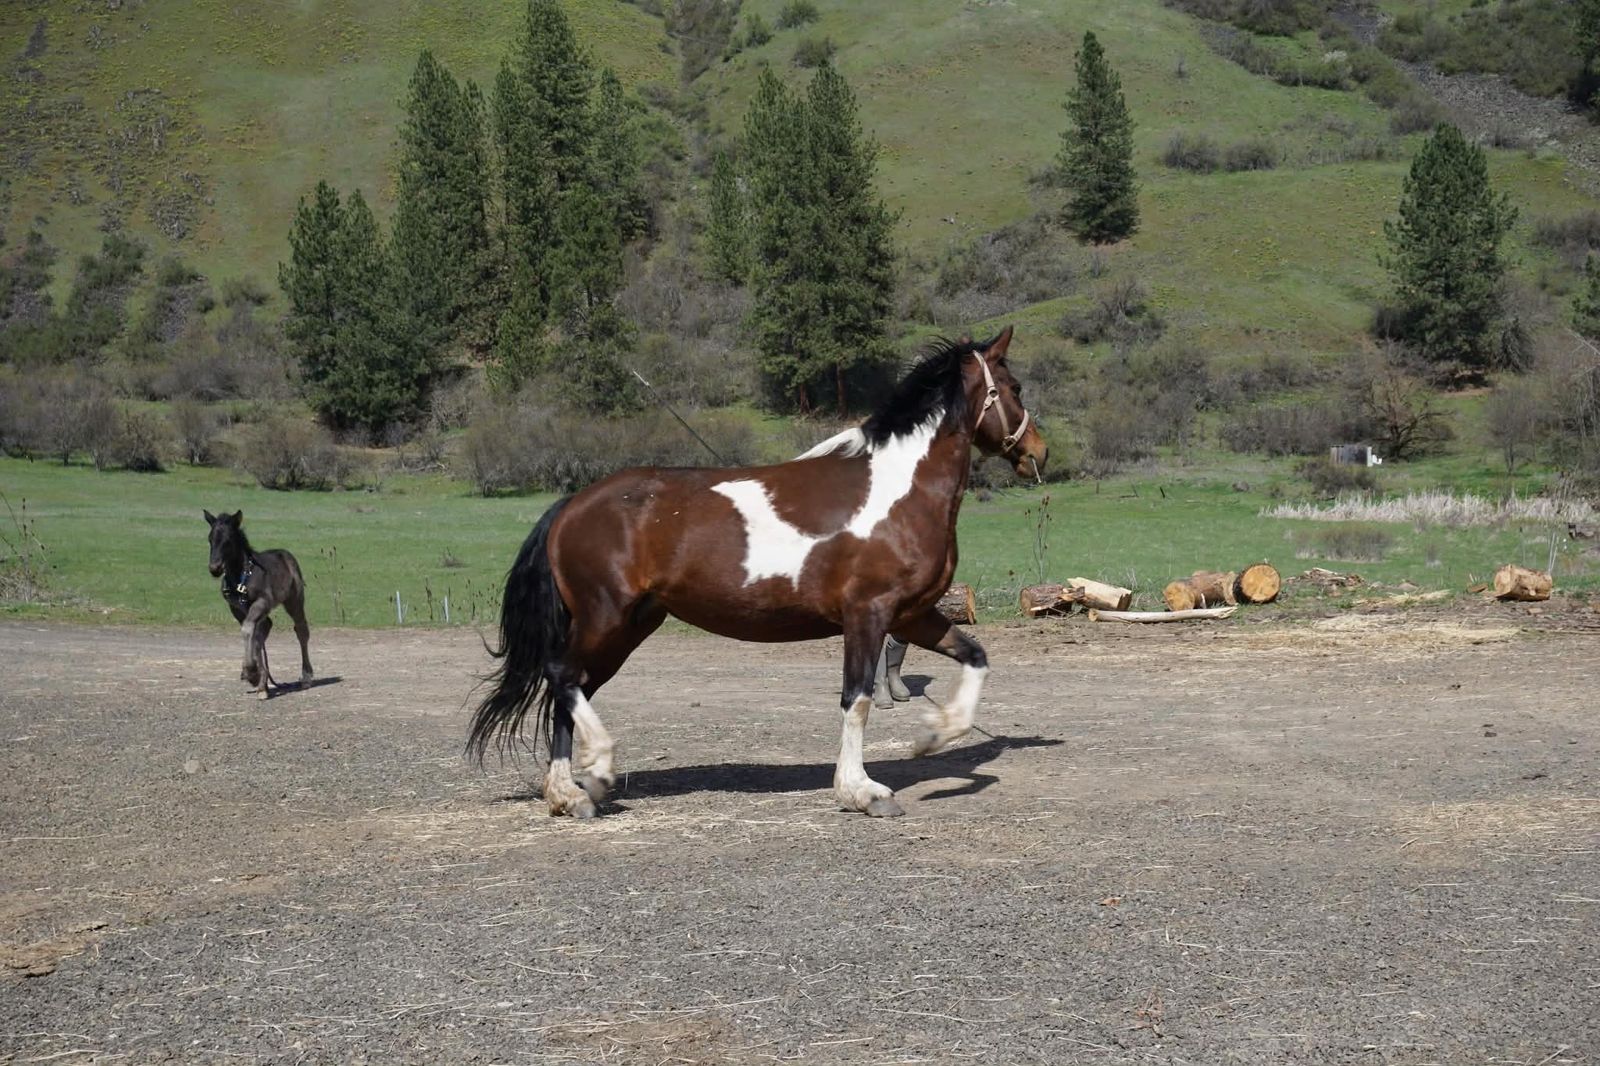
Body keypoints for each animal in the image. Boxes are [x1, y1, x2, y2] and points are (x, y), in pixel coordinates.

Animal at [204, 510, 314, 700]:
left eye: (228, 540)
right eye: (210, 538)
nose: (215, 568)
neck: (242, 577)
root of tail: (286, 555)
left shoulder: (262, 601)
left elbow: (248, 630)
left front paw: (251, 672)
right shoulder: (237, 608)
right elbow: (252, 635)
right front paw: (256, 678)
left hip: (294, 600)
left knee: (301, 630)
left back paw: (306, 676)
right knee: (264, 628)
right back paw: (264, 681)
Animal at [469, 326, 1047, 819]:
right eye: (1015, 387)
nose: (1038, 451)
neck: (899, 492)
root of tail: (571, 505)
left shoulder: (912, 615)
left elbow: (975, 658)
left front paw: (931, 735)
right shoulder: (868, 613)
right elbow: (857, 699)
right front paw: (862, 791)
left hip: (630, 626)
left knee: (568, 691)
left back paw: (569, 792)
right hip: (604, 618)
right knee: (561, 676)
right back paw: (595, 775)